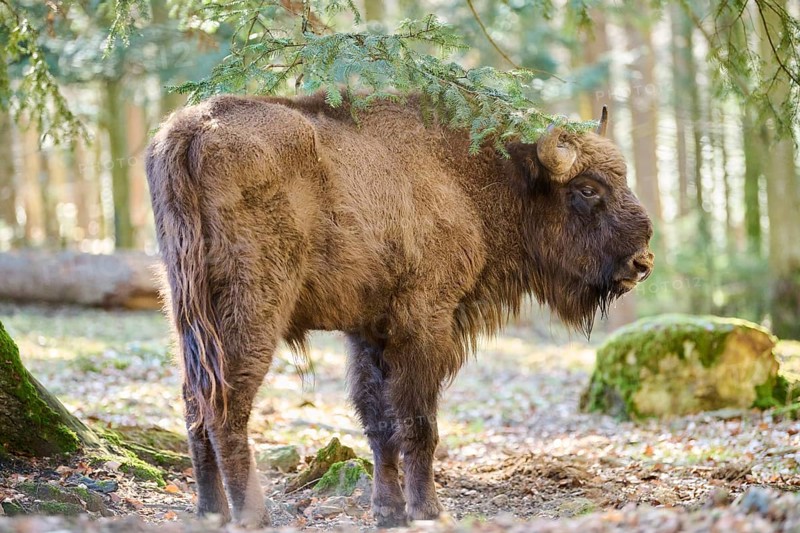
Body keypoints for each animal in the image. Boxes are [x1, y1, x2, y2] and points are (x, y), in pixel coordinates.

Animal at [146, 93, 653, 528]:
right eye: (587, 189)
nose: (643, 262)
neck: (467, 178)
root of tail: (191, 129)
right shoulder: (425, 322)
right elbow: (418, 423)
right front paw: (428, 511)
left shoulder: (370, 331)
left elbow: (379, 423)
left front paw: (388, 512)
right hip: (251, 311)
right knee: (226, 406)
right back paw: (252, 516)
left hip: (185, 311)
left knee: (192, 402)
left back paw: (209, 513)